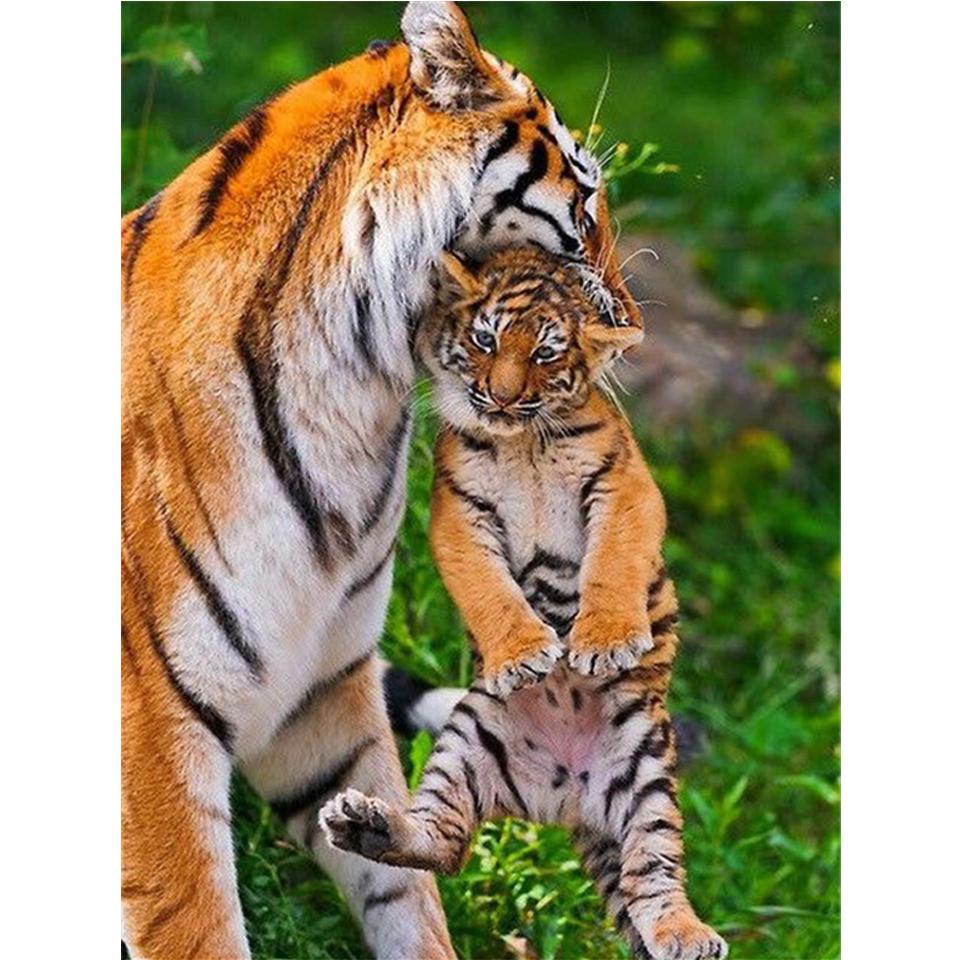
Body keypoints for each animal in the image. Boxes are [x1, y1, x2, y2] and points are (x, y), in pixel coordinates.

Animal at [120, 2, 642, 958]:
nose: (629, 325)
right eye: (584, 204)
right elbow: (196, 922)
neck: (359, 395)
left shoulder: (323, 685)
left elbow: (403, 891)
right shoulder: (152, 717)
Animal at [320, 248, 728, 960]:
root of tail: (567, 800)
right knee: (446, 844)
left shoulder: (624, 485)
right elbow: (489, 589)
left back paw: (686, 933)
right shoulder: (459, 511)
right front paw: (525, 655)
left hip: (646, 768)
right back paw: (369, 826)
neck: (523, 442)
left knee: (653, 876)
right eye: (485, 340)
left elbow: (613, 563)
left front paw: (603, 641)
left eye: (544, 354)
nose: (503, 396)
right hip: (468, 741)